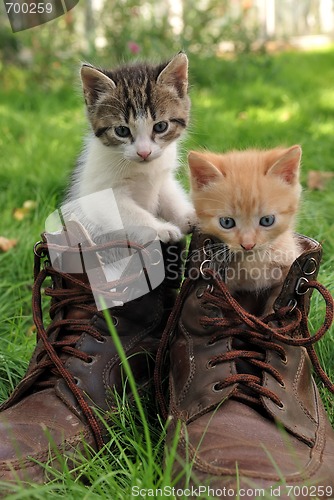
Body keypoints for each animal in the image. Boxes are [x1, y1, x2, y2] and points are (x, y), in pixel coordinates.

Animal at [63, 52, 196, 242]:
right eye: (121, 131)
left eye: (160, 126)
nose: (144, 152)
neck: (145, 170)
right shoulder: (98, 195)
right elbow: (133, 214)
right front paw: (161, 229)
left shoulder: (163, 177)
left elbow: (170, 196)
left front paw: (188, 216)